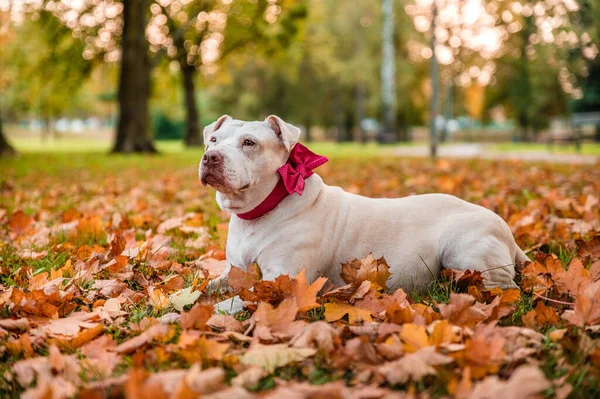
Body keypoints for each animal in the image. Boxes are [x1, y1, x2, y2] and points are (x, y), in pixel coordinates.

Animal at [200, 114, 524, 292]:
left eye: (249, 143)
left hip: (464, 252)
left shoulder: (283, 281)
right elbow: (206, 289)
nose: (210, 157)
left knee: (504, 287)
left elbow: (231, 303)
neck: (259, 212)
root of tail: (507, 230)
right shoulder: (234, 273)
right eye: (213, 140)